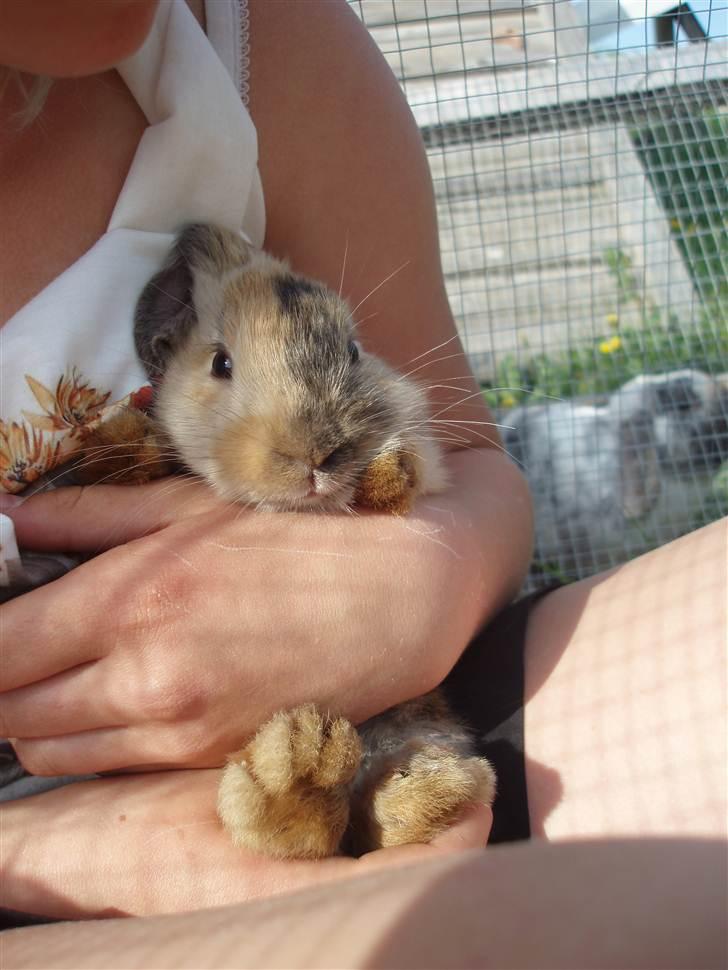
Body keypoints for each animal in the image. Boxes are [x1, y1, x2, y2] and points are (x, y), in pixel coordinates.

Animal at [82, 229, 498, 864]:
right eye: (220, 362)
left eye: (353, 350)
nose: (317, 454)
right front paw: (121, 444)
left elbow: (412, 471)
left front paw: (387, 471)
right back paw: (299, 773)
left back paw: (395, 785)